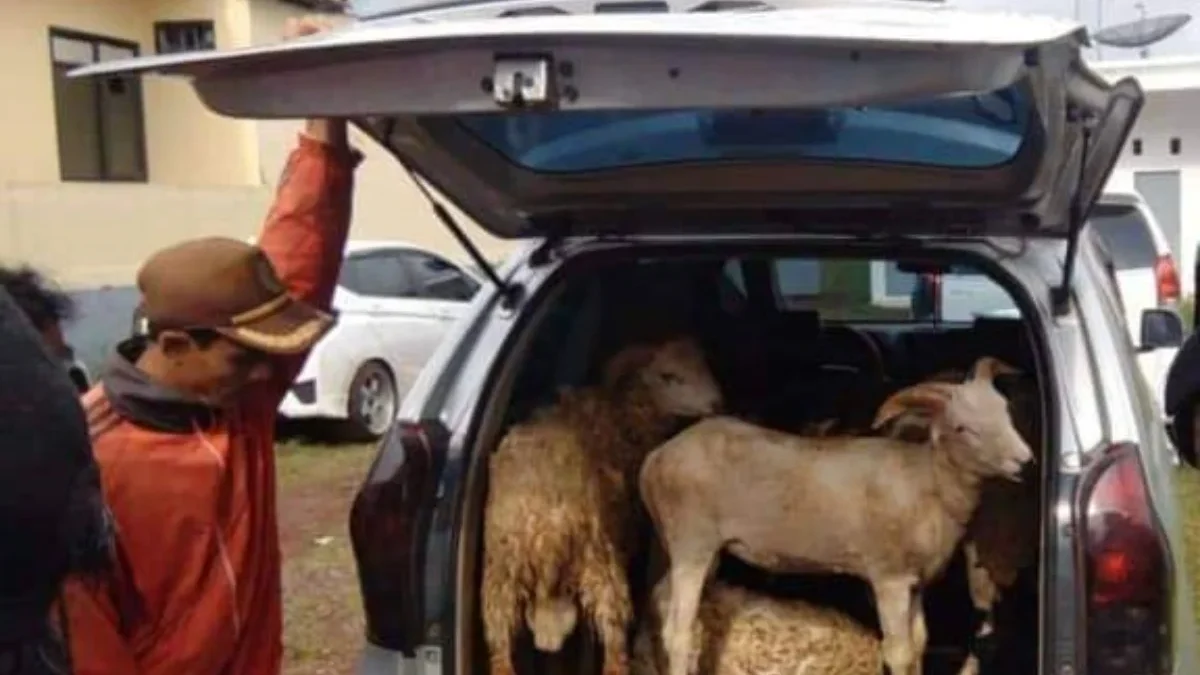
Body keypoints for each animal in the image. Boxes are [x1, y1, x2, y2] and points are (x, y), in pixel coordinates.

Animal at [477, 336, 720, 675]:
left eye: (703, 365)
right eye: (668, 375)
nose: (717, 403)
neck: (625, 415)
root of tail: (543, 526)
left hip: (502, 574)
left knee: (500, 650)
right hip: (599, 562)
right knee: (614, 647)